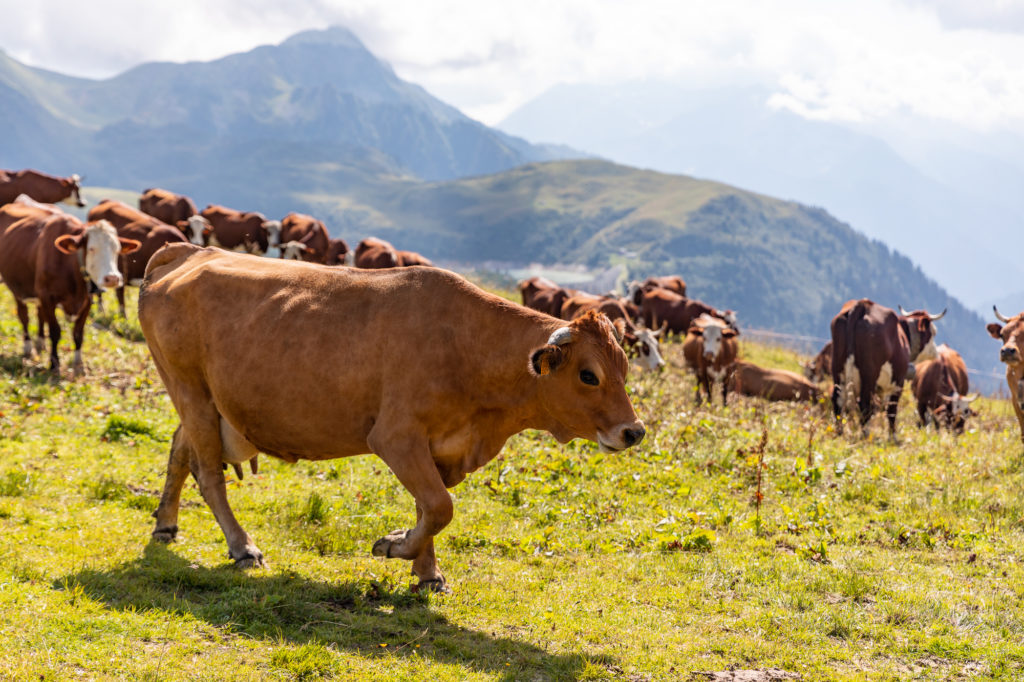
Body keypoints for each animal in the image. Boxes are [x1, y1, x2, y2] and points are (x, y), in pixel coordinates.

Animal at [140, 242, 643, 589]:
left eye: (624, 367)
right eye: (589, 375)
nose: (634, 431)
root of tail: (190, 251)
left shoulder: (438, 448)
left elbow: (429, 506)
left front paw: (427, 572)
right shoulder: (396, 437)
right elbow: (440, 506)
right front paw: (396, 546)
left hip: (205, 402)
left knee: (179, 450)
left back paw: (166, 524)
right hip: (191, 392)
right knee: (209, 473)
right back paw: (242, 546)